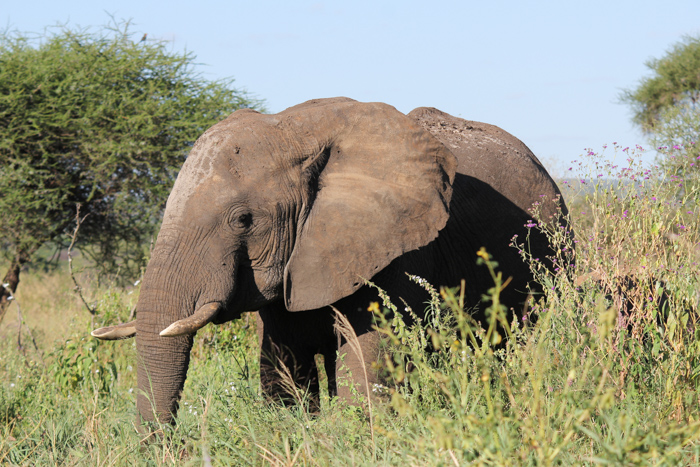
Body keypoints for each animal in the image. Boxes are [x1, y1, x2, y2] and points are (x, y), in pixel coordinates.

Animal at [90, 97, 568, 426]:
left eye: (243, 220)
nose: (167, 447)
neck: (297, 130)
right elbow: (282, 369)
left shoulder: (393, 252)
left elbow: (366, 368)